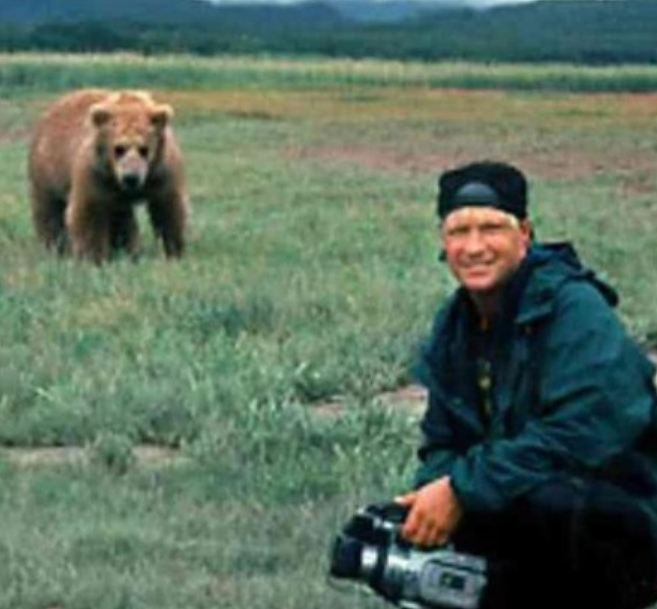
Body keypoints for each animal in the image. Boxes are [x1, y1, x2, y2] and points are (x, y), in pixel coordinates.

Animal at [29, 88, 191, 262]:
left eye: (144, 149)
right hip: (48, 170)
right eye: (118, 148)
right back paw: (55, 247)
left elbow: (168, 208)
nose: (131, 178)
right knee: (49, 210)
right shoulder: (96, 172)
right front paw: (93, 256)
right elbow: (90, 212)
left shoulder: (162, 170)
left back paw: (127, 249)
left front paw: (173, 251)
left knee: (121, 217)